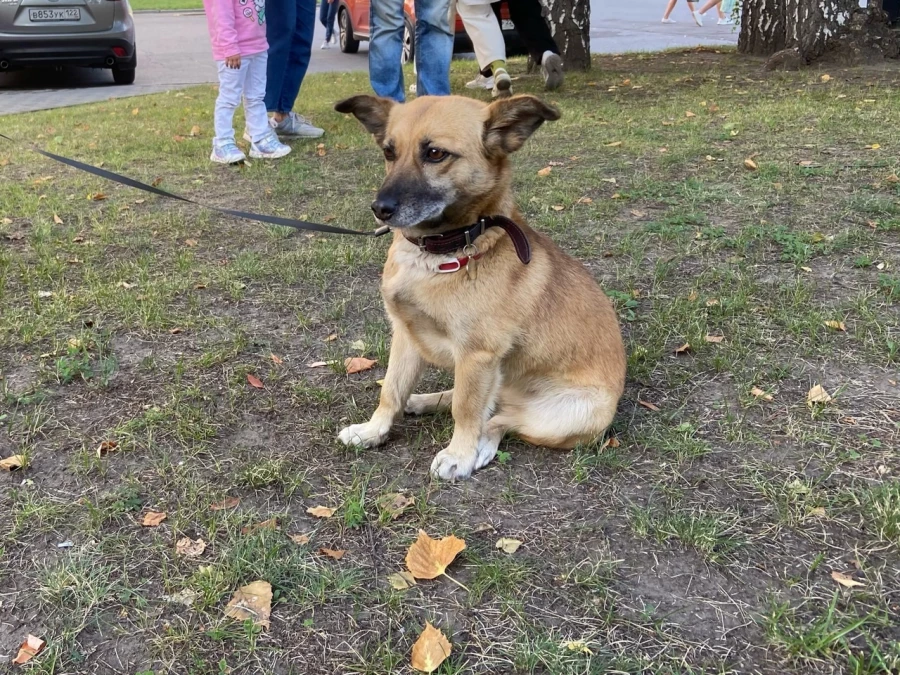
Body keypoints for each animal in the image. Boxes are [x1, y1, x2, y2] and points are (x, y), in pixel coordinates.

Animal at [334, 92, 624, 480]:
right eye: (388, 152)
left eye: (435, 153)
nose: (380, 209)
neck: (438, 255)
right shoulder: (406, 335)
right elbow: (391, 391)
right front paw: (372, 431)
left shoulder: (477, 355)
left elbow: (466, 410)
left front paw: (459, 454)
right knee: (480, 403)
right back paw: (423, 401)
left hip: (566, 414)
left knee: (500, 420)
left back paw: (480, 445)